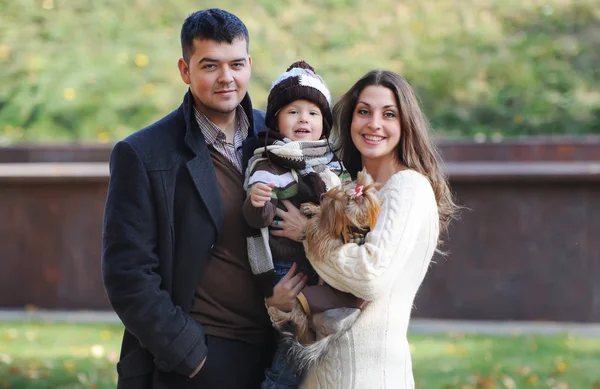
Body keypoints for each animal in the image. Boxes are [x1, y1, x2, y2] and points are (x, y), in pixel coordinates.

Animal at [268, 168, 380, 368]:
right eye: (338, 188)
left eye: (335, 200)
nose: (322, 196)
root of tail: (336, 333)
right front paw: (312, 208)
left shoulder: (329, 240)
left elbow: (317, 227)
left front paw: (310, 217)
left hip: (309, 299)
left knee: (296, 316)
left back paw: (275, 312)